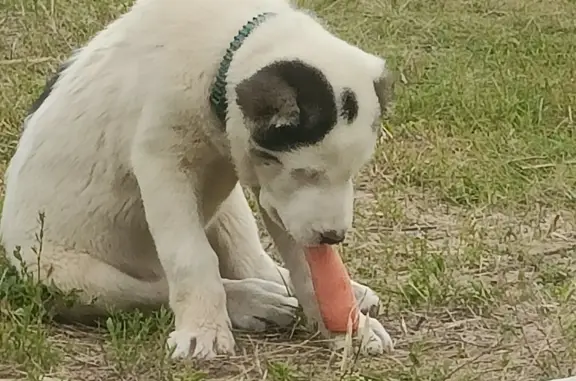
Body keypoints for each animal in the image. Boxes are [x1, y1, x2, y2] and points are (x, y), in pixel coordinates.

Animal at [0, 0, 394, 360]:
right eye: (305, 173)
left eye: (352, 173)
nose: (333, 237)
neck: (222, 54)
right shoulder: (163, 164)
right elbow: (191, 257)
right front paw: (203, 330)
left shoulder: (269, 189)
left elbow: (308, 264)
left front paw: (349, 326)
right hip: (74, 277)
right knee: (152, 289)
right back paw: (250, 300)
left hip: (229, 209)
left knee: (251, 259)